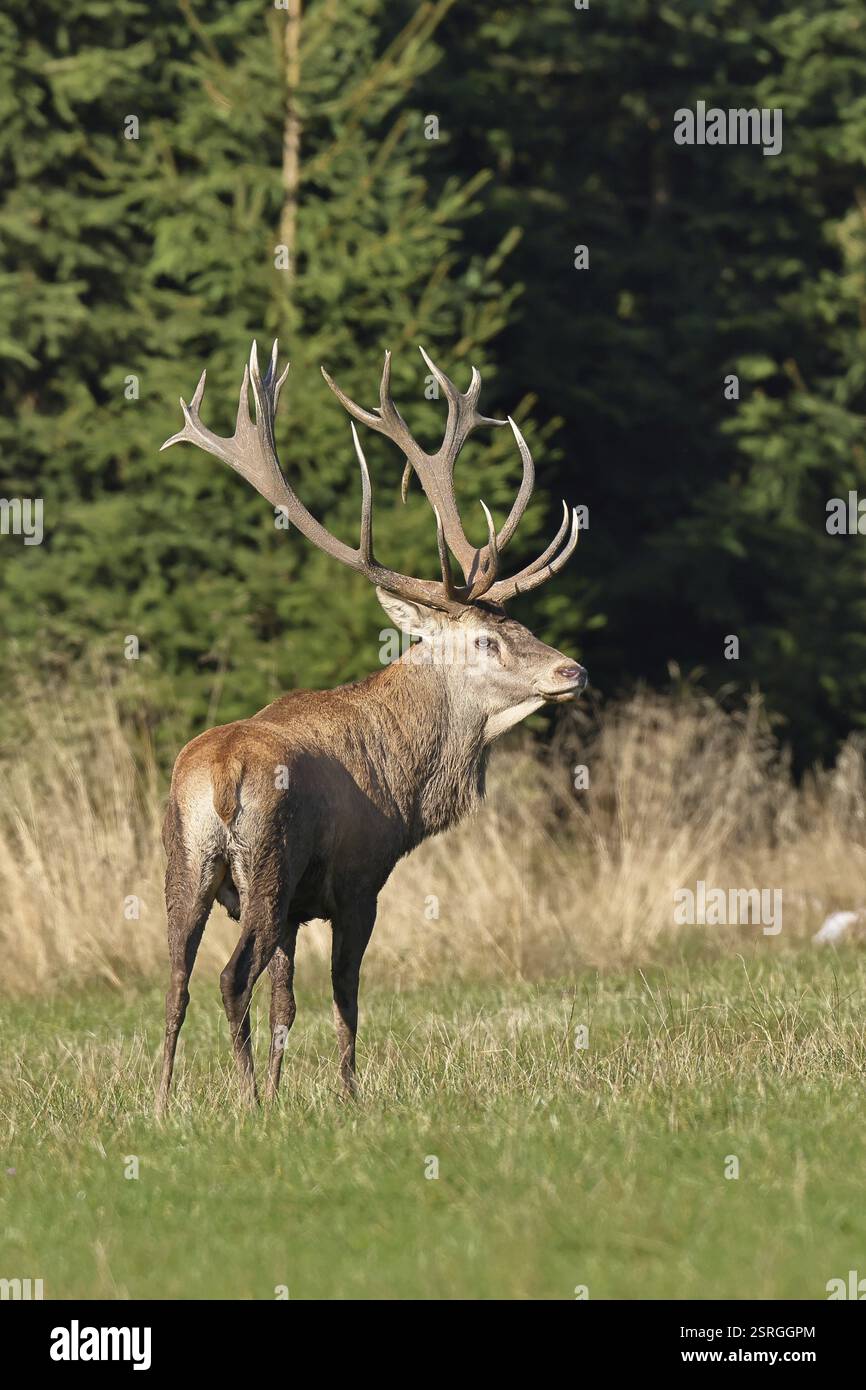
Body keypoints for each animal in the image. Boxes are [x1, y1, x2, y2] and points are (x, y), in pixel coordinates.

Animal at [155, 340, 586, 1113]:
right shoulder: (358, 880)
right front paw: (347, 1098)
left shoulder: (299, 909)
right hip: (268, 863)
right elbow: (344, 1000)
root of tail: (220, 777)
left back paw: (163, 1103)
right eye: (488, 640)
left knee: (175, 981)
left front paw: (286, 1091)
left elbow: (286, 1006)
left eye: (523, 624)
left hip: (187, 862)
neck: (406, 786)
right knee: (230, 979)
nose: (573, 670)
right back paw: (246, 1103)